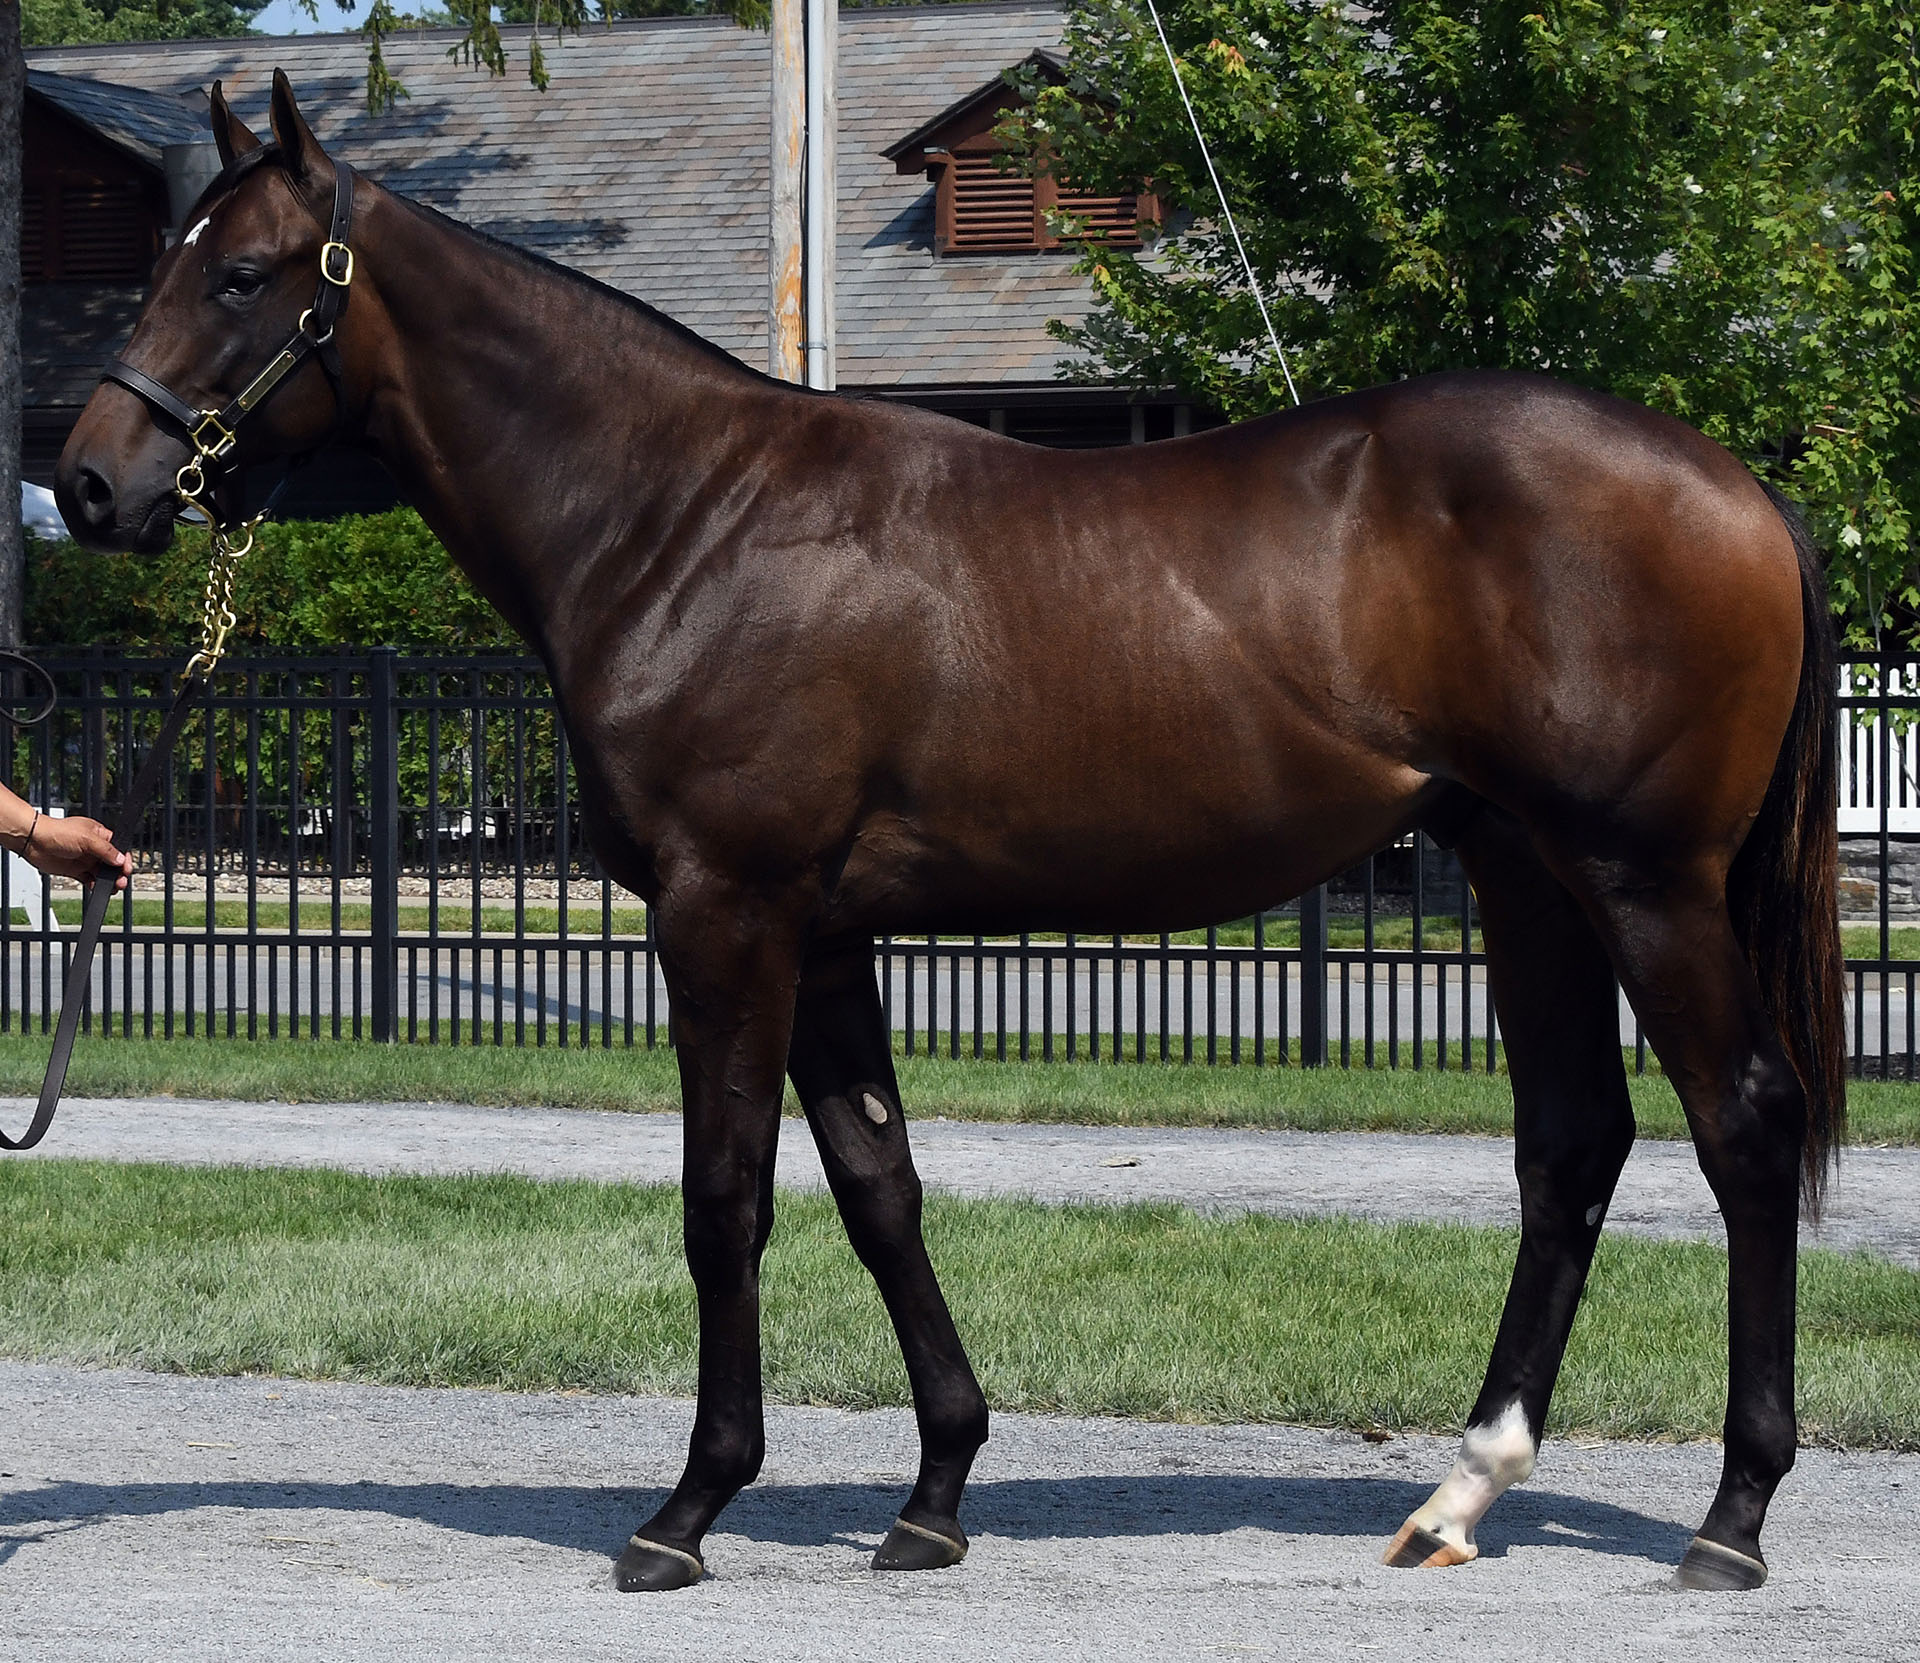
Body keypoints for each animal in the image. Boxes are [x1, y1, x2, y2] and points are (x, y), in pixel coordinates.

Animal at [52, 74, 1835, 1597]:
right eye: (167, 260)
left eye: (245, 273)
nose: (86, 483)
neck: (682, 517)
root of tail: (1737, 482)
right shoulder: (827, 930)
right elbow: (876, 1186)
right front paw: (932, 1492)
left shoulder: (728, 912)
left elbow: (726, 1194)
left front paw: (689, 1507)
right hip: (1526, 873)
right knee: (1572, 1143)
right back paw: (1462, 1490)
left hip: (1641, 880)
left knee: (1742, 1130)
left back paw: (1735, 1514)